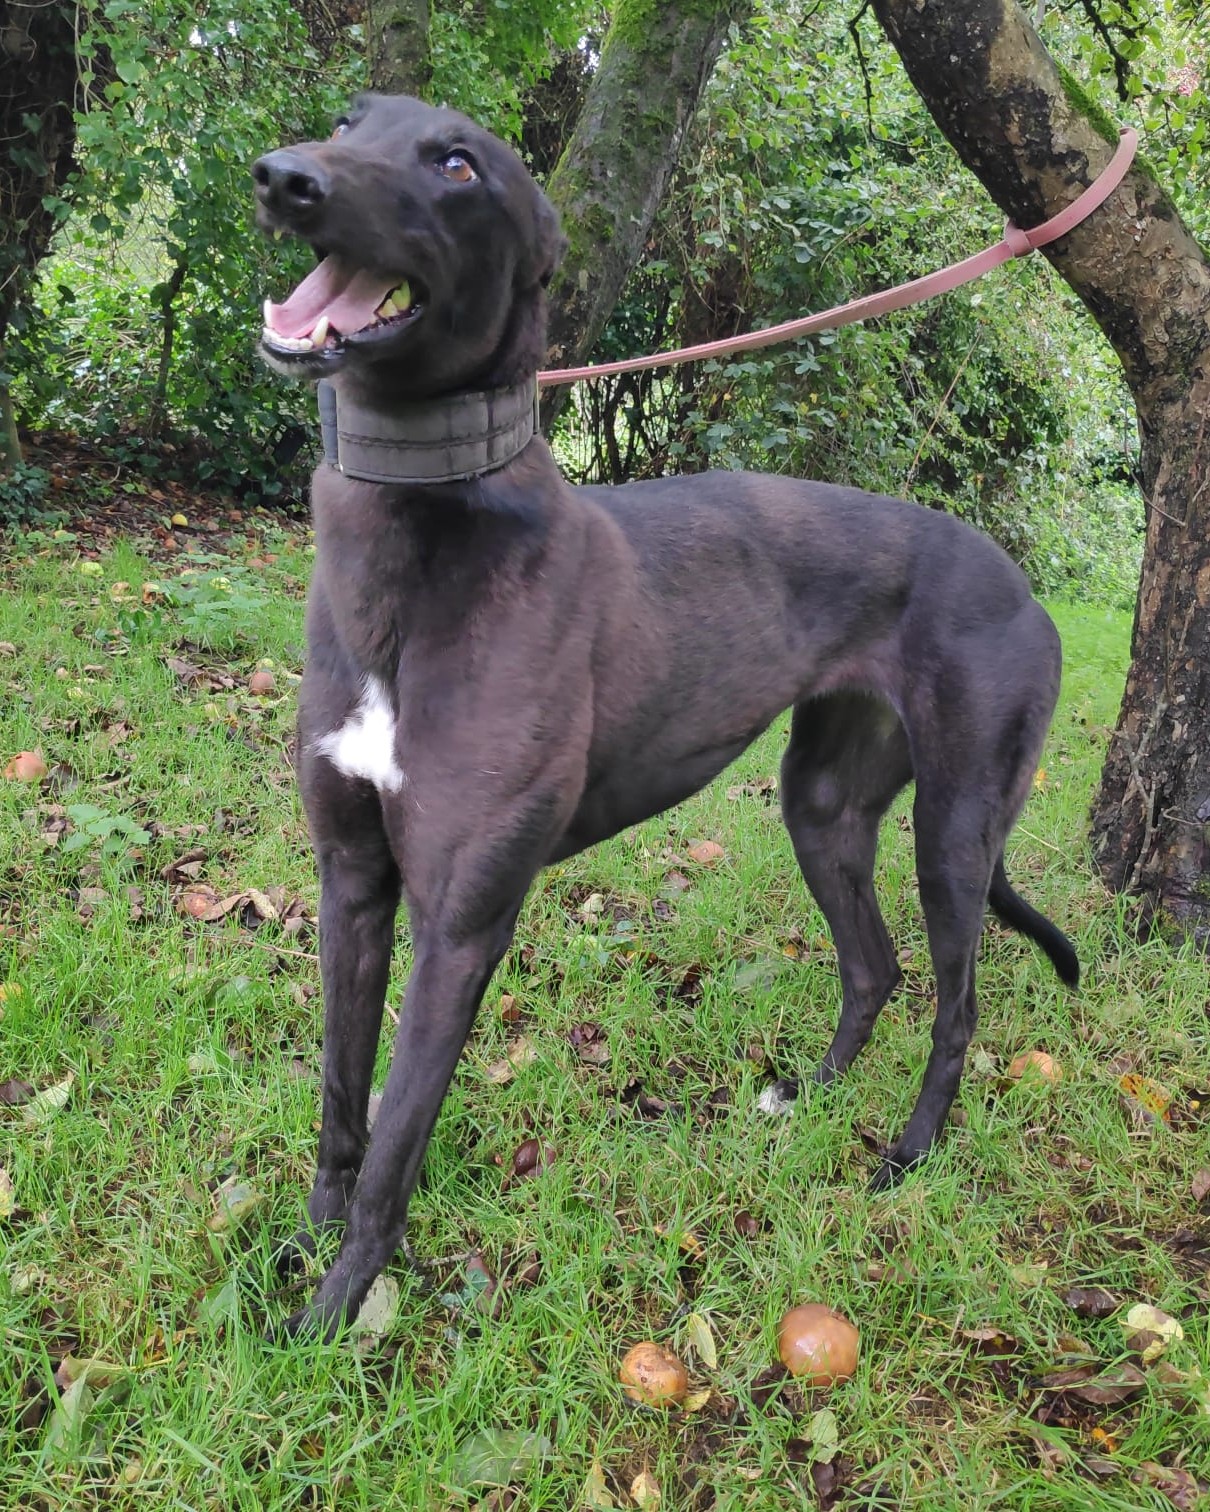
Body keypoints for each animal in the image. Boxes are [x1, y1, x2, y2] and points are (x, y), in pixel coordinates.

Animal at [251, 93, 1078, 1339]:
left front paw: (328, 1322)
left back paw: (908, 1153)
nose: (283, 177)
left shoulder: (461, 918)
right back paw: (810, 1100)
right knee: (872, 967)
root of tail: (1025, 589)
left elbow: (396, 1137)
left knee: (956, 1004)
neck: (421, 538)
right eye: (349, 121)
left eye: (458, 164)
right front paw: (302, 1251)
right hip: (822, 806)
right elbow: (344, 1101)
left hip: (956, 826)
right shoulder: (350, 878)